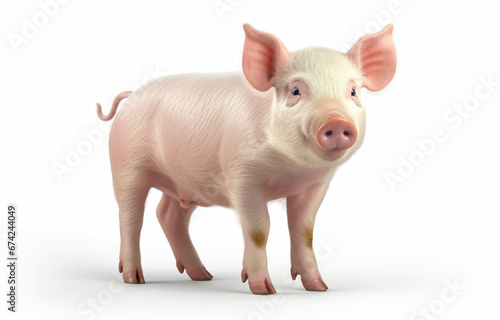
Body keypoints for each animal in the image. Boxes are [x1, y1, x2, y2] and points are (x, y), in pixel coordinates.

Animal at [96, 23, 394, 296]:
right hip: (125, 165)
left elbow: (304, 230)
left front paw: (319, 287)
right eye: (296, 91)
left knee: (167, 215)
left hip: (185, 183)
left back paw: (203, 276)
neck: (291, 168)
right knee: (130, 217)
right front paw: (264, 290)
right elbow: (259, 229)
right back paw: (135, 279)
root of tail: (132, 95)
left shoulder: (316, 184)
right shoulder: (243, 176)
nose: (336, 122)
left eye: (352, 92)